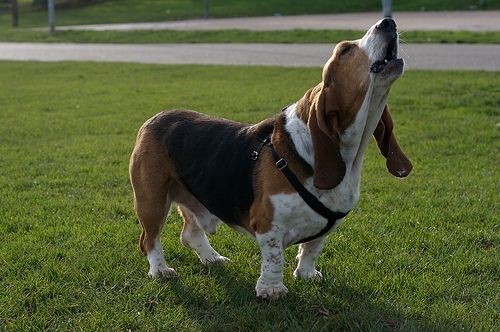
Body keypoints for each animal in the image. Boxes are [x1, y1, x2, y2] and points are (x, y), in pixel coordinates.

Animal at [129, 17, 410, 298]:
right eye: (345, 51)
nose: (388, 22)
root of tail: (153, 119)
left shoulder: (325, 228)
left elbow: (312, 249)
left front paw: (307, 274)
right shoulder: (269, 227)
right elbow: (275, 259)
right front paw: (272, 289)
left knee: (190, 233)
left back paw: (212, 258)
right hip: (152, 201)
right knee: (149, 240)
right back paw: (160, 270)